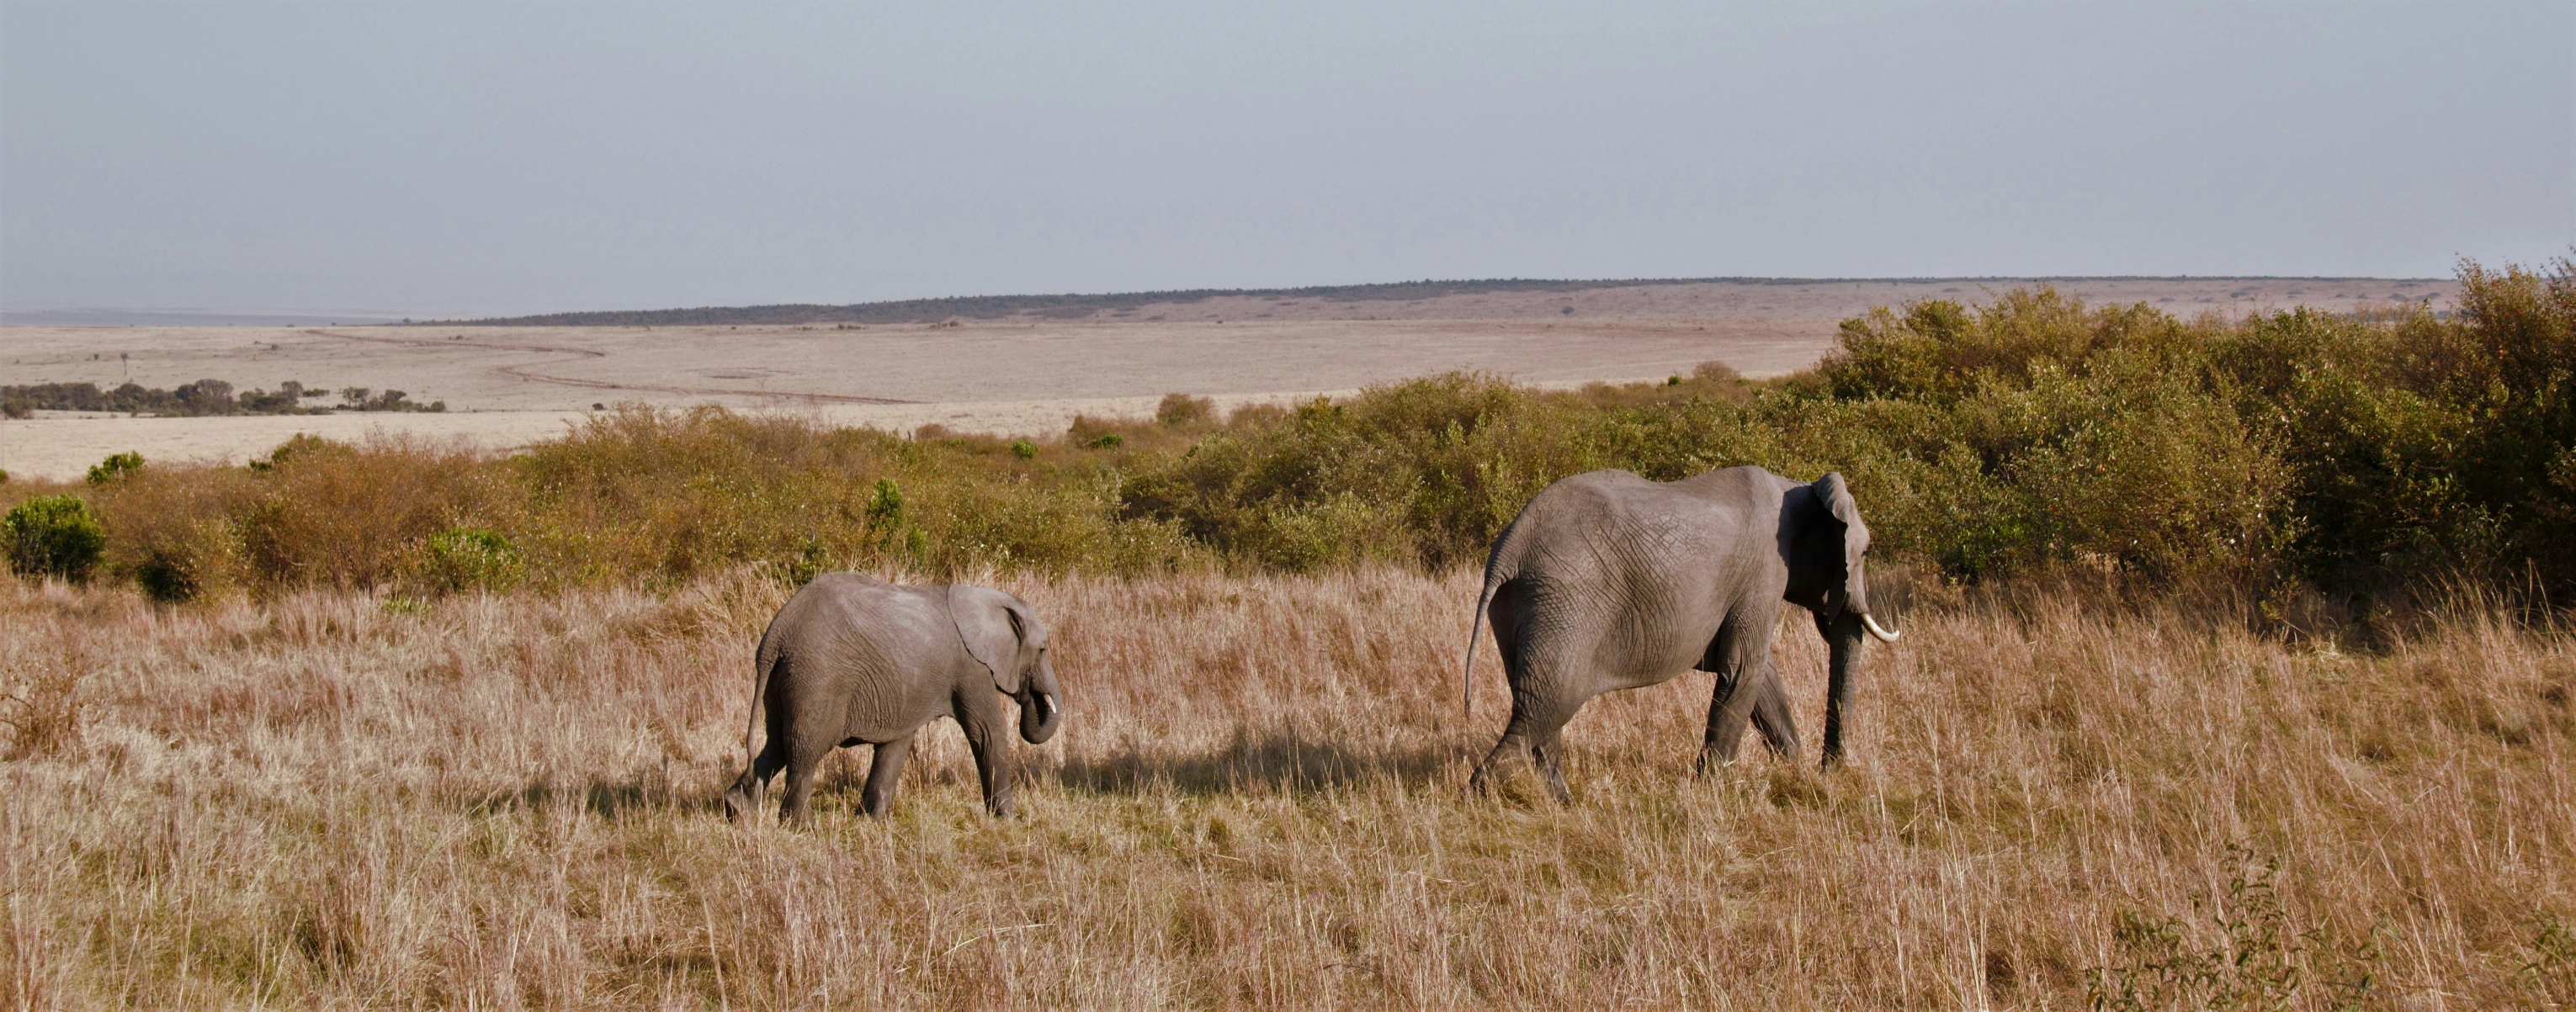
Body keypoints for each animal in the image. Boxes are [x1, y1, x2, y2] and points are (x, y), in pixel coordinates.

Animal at [721, 571, 1061, 824]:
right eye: (1042, 649)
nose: (1033, 698)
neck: (984, 597)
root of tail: (776, 633)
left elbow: (897, 744)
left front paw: (871, 821)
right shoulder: (971, 667)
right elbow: (988, 732)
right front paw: (1009, 820)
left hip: (783, 680)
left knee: (777, 743)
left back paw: (736, 810)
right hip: (816, 679)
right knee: (805, 750)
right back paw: (801, 825)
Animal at [1473, 466, 1895, 797]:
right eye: (1865, 554)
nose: (1830, 770)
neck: (1800, 488)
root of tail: (1508, 549)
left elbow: (1759, 676)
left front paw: (1793, 770)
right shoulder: (1764, 572)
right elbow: (1744, 668)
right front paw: (1713, 792)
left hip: (1523, 606)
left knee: (1540, 705)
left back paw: (1563, 803)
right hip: (1565, 602)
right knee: (1546, 705)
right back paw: (1484, 791)